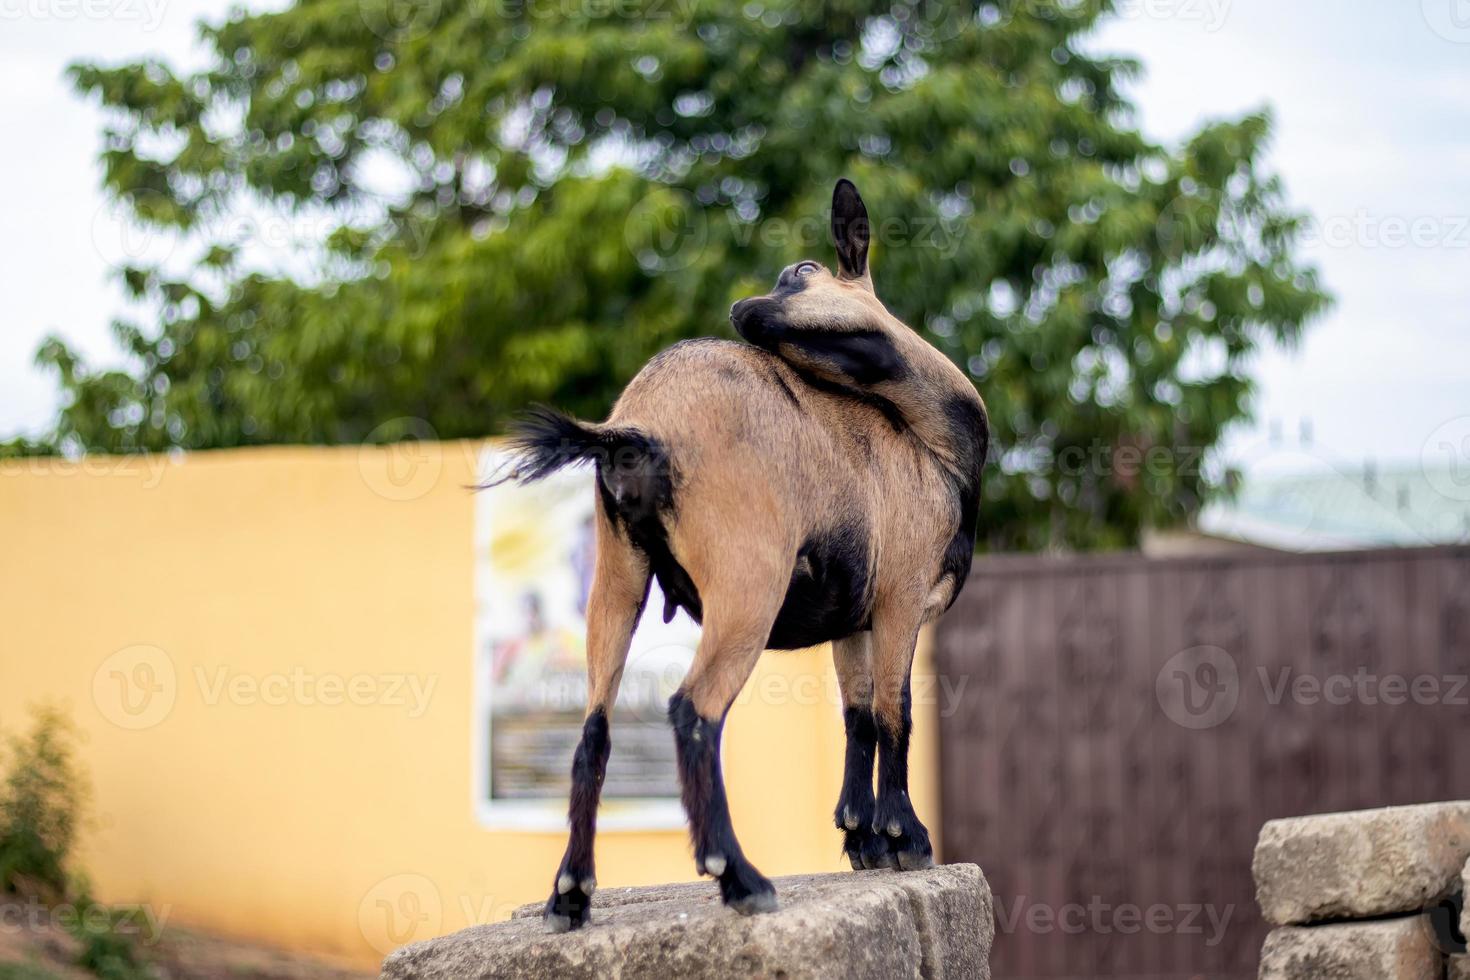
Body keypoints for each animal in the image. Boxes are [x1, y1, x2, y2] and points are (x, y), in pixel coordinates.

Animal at [490, 179, 987, 934]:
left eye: (800, 272)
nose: (743, 311)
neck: (934, 450)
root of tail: (637, 427)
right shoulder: (902, 594)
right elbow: (895, 710)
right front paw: (907, 839)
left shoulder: (854, 620)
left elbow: (857, 715)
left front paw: (861, 838)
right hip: (745, 583)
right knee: (693, 710)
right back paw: (740, 878)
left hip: (617, 577)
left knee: (593, 730)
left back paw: (570, 896)